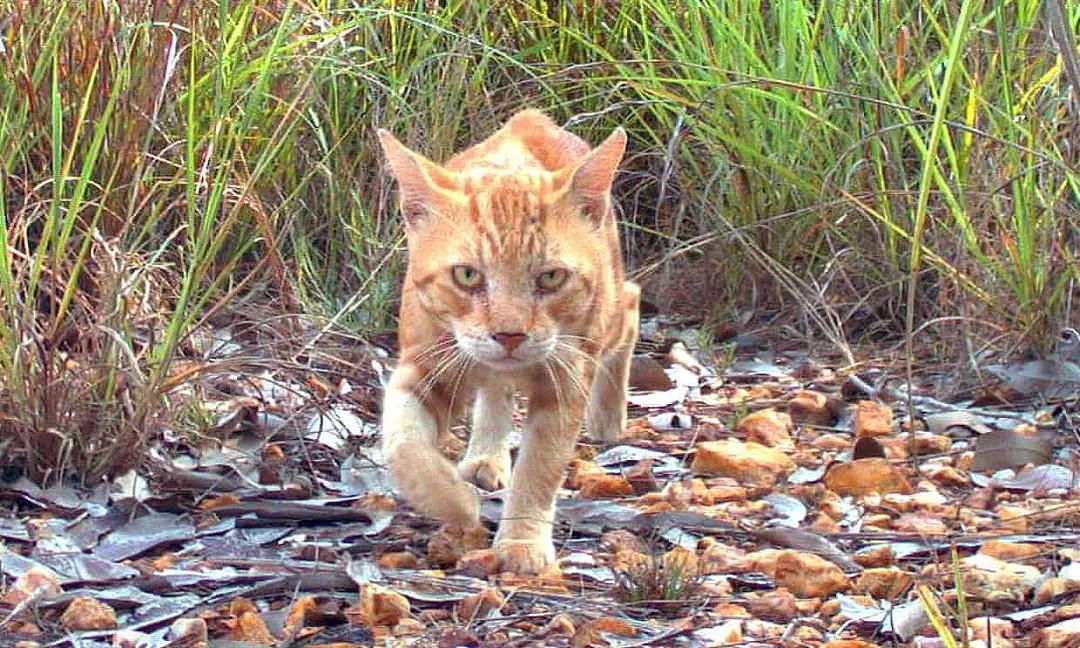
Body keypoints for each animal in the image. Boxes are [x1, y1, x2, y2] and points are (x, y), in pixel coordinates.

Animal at [375, 110, 635, 570]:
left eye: (551, 277)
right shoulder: (423, 366)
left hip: (608, 318)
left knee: (633, 303)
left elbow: (540, 466)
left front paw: (522, 540)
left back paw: (607, 416)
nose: (509, 334)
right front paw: (455, 502)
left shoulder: (565, 381)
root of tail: (530, 119)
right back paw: (485, 454)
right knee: (495, 392)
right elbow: (403, 446)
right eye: (467, 275)